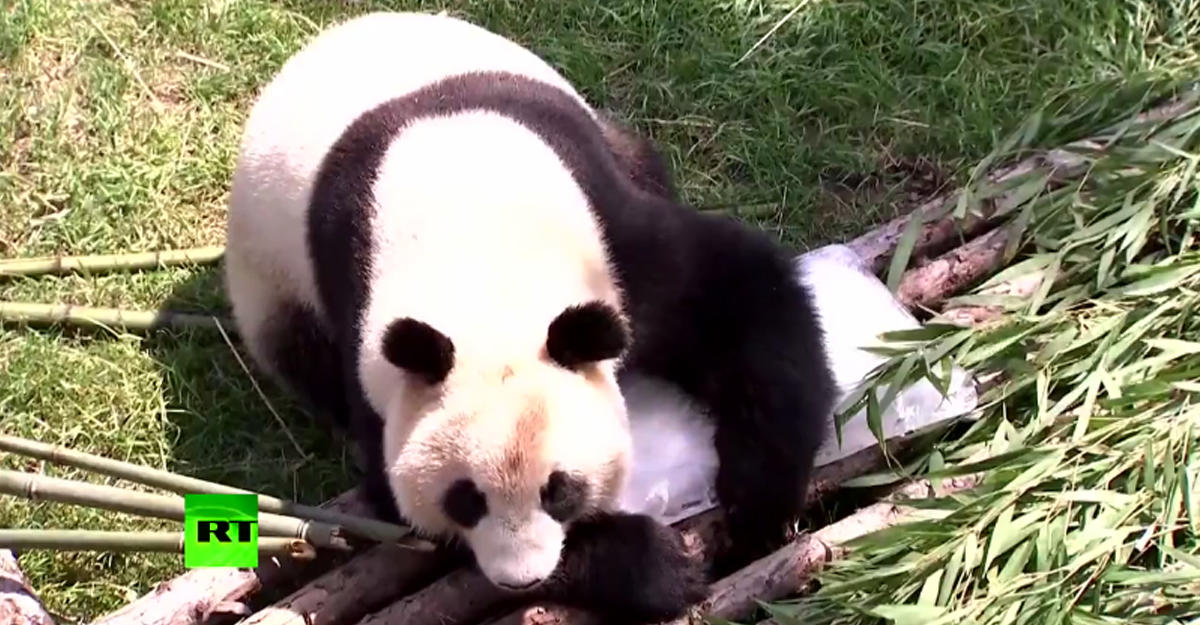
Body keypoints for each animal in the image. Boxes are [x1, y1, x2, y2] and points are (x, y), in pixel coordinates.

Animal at [225, 9, 840, 623]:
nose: (522, 579)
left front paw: (758, 506)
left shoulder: (614, 245)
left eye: (558, 489)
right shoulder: (369, 349)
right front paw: (654, 566)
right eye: (465, 499)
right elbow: (397, 509)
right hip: (276, 283)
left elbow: (742, 297)